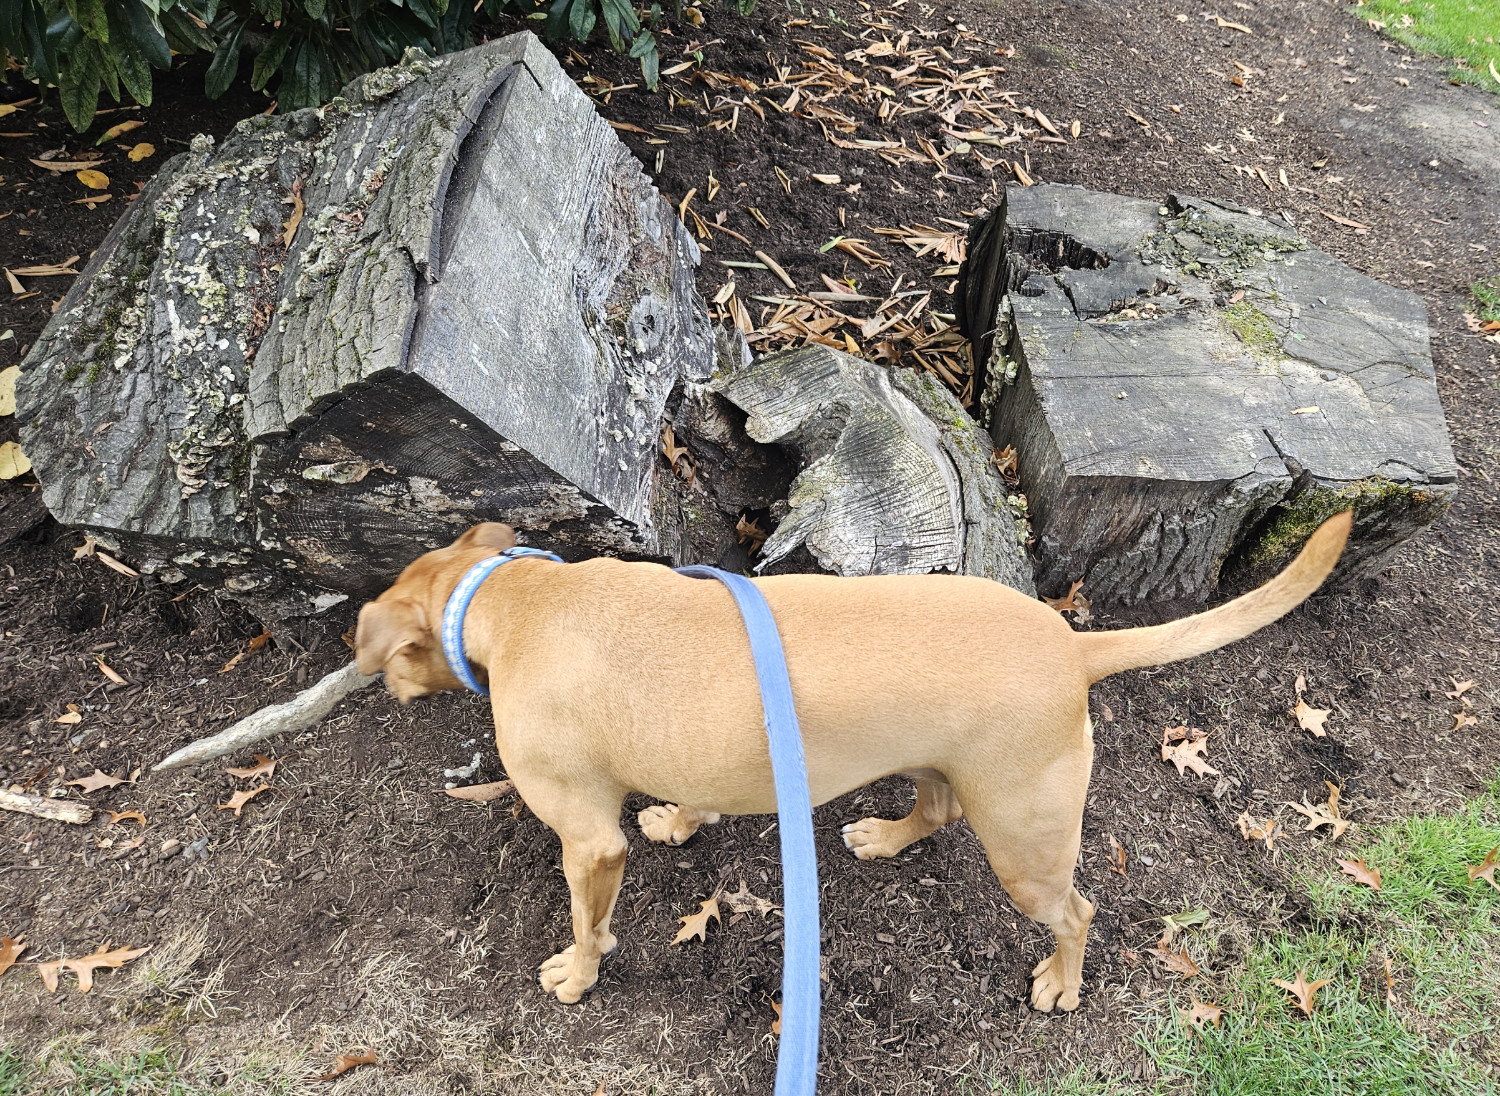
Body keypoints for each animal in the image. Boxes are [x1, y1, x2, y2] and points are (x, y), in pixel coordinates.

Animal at [357, 515, 1356, 1013]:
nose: (370, 678)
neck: (516, 600)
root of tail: (1071, 647)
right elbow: (688, 801)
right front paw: (678, 821)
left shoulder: (587, 843)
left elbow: (587, 924)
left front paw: (576, 974)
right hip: (944, 771)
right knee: (935, 811)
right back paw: (882, 836)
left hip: (1025, 847)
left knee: (1078, 911)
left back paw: (1062, 984)